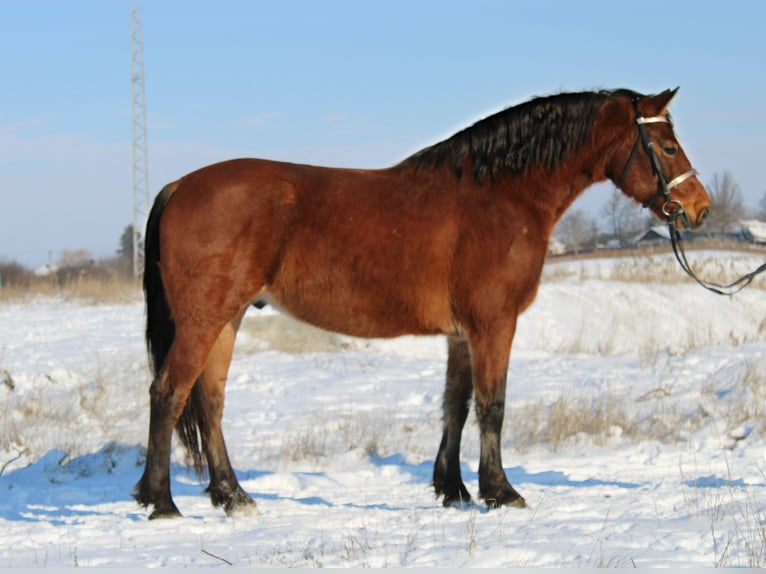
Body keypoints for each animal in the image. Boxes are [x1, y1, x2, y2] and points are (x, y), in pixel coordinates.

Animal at [134, 88, 710, 518]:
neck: (500, 195)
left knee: (209, 401)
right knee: (168, 393)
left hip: (225, 321)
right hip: (204, 321)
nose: (699, 208)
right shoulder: (494, 324)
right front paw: (501, 492)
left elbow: (456, 404)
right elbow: (493, 405)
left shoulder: (462, 333)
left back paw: (233, 497)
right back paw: (161, 503)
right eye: (668, 146)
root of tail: (179, 185)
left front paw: (453, 489)